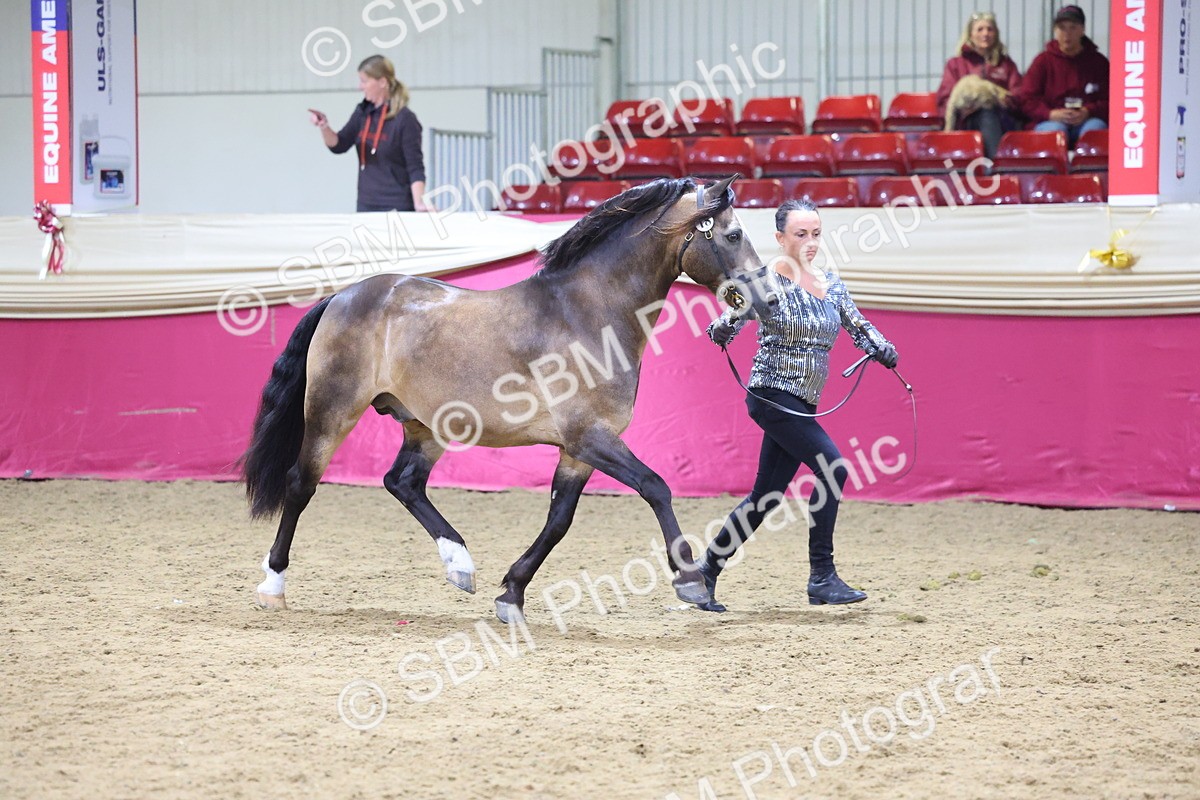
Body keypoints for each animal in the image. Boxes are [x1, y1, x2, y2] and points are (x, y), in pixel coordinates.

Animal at [241, 174, 776, 623]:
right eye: (733, 235)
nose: (769, 298)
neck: (587, 312)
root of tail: (342, 296)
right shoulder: (591, 437)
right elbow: (656, 487)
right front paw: (692, 584)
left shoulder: (578, 450)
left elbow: (559, 520)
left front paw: (511, 594)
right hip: (332, 412)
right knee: (301, 484)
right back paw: (273, 585)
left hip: (426, 426)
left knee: (403, 482)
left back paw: (460, 564)